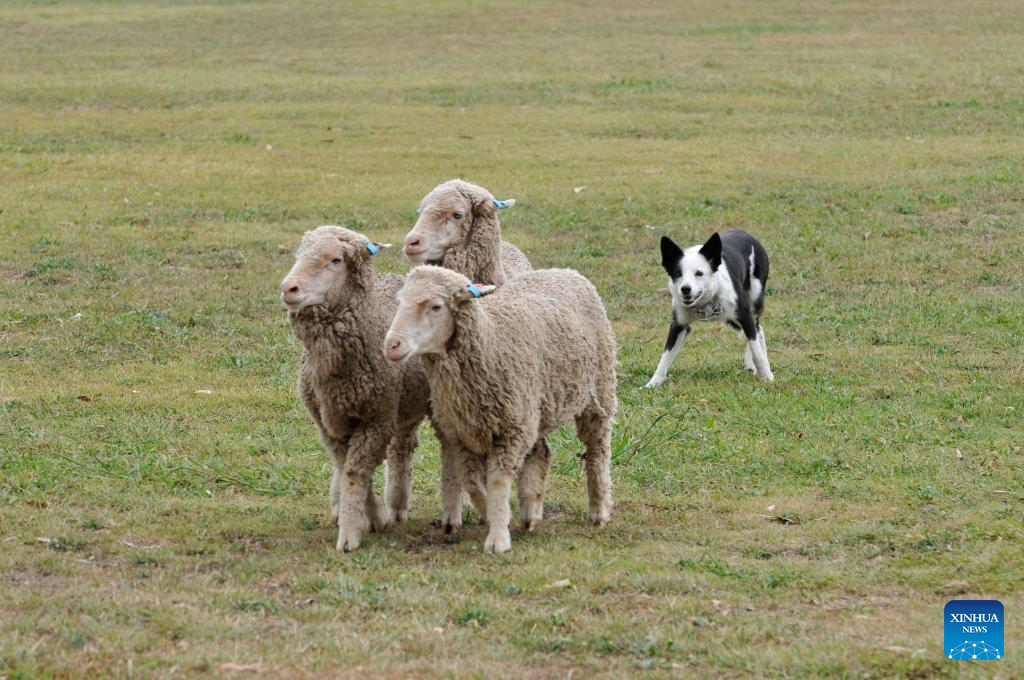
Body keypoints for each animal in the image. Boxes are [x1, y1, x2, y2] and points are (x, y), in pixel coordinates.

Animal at [276, 225, 460, 548]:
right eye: (300, 255)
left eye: (336, 260)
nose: (289, 288)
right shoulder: (329, 423)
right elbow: (348, 466)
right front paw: (368, 515)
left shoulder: (376, 418)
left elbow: (355, 470)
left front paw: (353, 532)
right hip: (400, 406)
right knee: (400, 448)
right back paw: (390, 505)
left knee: (437, 446)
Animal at [380, 264, 610, 553]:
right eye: (400, 302)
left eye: (436, 306)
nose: (391, 345)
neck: (490, 343)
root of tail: (564, 270)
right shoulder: (461, 433)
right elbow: (471, 482)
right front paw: (490, 512)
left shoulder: (510, 432)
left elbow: (498, 482)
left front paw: (498, 538)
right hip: (533, 407)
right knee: (542, 451)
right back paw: (531, 511)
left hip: (598, 391)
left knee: (598, 449)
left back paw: (599, 510)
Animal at [643, 229, 770, 385]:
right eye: (678, 274)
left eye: (699, 273)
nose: (685, 289)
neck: (706, 301)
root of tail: (746, 234)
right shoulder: (679, 325)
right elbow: (665, 356)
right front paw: (653, 383)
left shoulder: (744, 315)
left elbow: (755, 347)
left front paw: (766, 375)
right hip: (731, 319)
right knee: (758, 330)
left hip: (754, 300)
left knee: (757, 331)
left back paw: (759, 365)